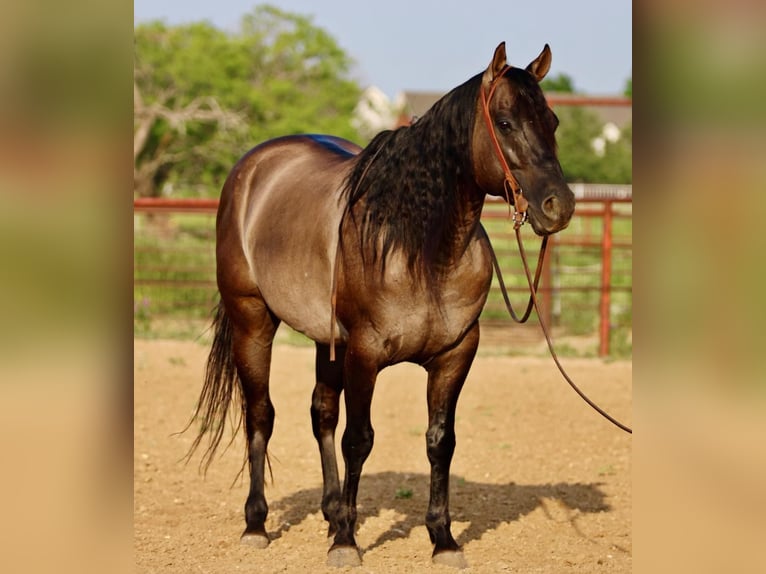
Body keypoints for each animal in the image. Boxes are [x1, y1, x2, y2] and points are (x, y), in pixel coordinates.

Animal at [189, 42, 576, 568]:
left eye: (552, 121)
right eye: (505, 122)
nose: (559, 205)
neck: (422, 248)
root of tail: (251, 168)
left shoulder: (455, 355)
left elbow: (440, 441)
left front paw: (442, 539)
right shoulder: (364, 353)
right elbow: (359, 439)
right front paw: (347, 543)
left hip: (325, 340)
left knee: (321, 413)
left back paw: (332, 512)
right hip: (253, 321)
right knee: (261, 415)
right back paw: (257, 524)